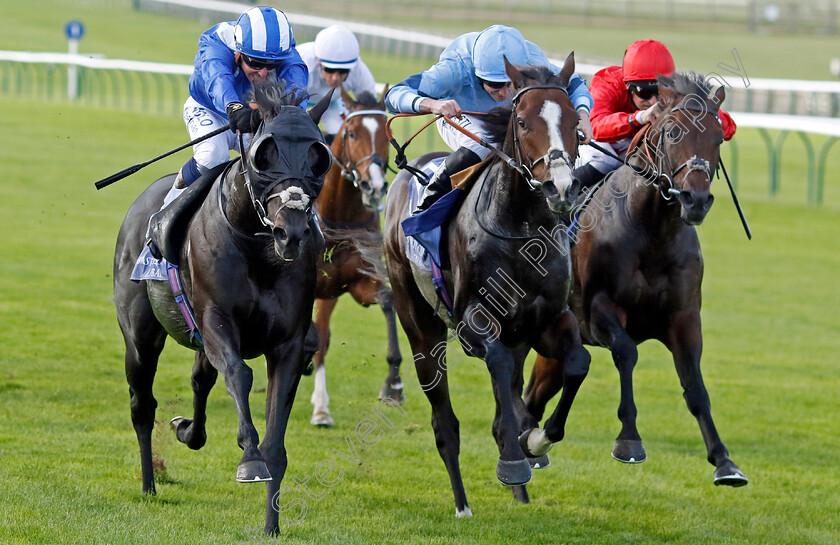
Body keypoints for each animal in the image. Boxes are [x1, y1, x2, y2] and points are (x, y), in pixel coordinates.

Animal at [308, 85, 404, 428]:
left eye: (386, 135)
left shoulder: (358, 282)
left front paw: (394, 384)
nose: (373, 185)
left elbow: (388, 300)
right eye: (351, 133)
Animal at [382, 56, 588, 516]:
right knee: (445, 423)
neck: (519, 230)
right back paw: (463, 503)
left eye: (574, 122)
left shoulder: (548, 319)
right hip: (419, 324)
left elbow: (577, 363)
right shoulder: (473, 323)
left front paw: (535, 440)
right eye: (524, 122)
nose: (561, 187)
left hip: (518, 336)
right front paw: (514, 459)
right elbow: (496, 366)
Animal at [524, 71, 748, 484]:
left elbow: (695, 386)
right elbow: (627, 353)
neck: (653, 232)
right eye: (673, 132)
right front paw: (629, 439)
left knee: (538, 391)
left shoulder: (684, 318)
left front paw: (724, 461)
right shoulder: (600, 310)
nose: (696, 200)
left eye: (718, 137)